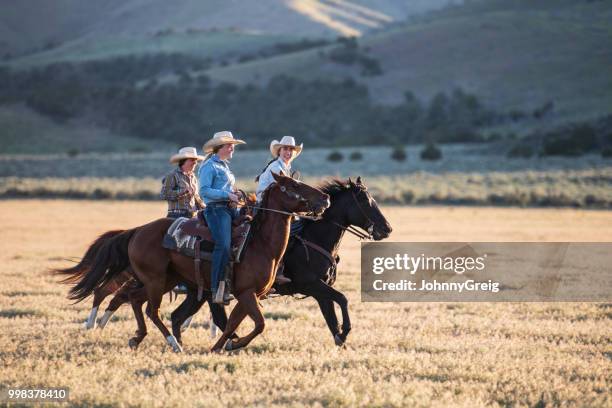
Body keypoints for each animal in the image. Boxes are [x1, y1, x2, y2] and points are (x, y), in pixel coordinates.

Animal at [61, 174, 330, 352]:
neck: (259, 243)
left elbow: (232, 323)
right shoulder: (246, 292)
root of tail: (137, 231)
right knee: (147, 308)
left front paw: (221, 346)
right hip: (155, 280)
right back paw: (172, 343)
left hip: (165, 280)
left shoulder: (248, 294)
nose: (325, 198)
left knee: (135, 300)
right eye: (293, 185)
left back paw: (139, 338)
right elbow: (258, 324)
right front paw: (234, 344)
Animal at [170, 177, 394, 346]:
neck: (314, 238)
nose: (387, 228)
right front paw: (346, 331)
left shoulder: (320, 292)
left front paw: (341, 339)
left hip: (200, 292)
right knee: (216, 317)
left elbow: (332, 321)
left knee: (179, 316)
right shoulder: (311, 285)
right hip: (213, 292)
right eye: (364, 200)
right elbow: (343, 299)